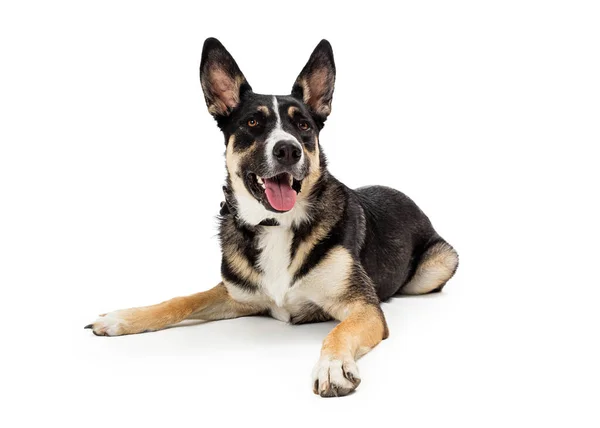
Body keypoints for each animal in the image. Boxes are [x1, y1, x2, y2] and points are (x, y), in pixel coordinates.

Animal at [84, 36, 460, 398]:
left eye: (304, 126)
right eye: (252, 122)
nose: (288, 150)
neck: (275, 225)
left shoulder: (363, 308)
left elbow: (339, 331)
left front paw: (332, 367)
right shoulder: (237, 295)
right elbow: (182, 300)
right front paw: (123, 318)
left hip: (439, 264)